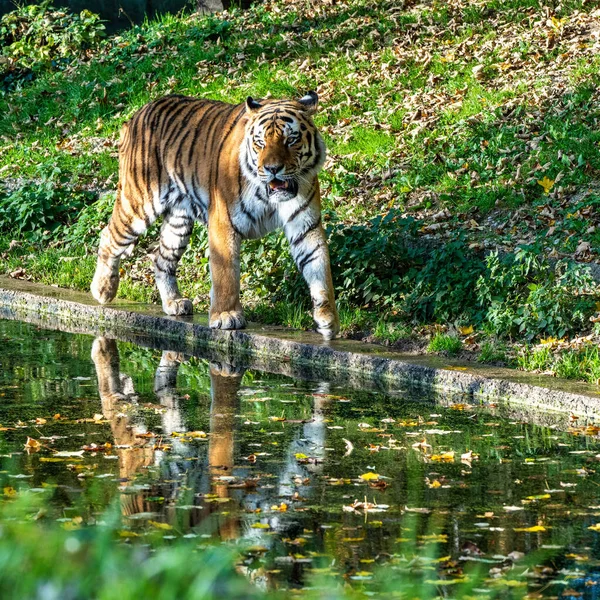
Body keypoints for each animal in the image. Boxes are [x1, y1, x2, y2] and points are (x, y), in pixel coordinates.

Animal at [91, 92, 340, 340]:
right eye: (260, 142)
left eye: (291, 140)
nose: (272, 169)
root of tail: (137, 114)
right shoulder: (223, 222)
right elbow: (225, 273)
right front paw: (226, 315)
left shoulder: (306, 226)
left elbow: (320, 268)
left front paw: (329, 320)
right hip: (138, 203)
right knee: (108, 235)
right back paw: (103, 290)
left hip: (178, 222)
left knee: (161, 258)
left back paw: (174, 302)